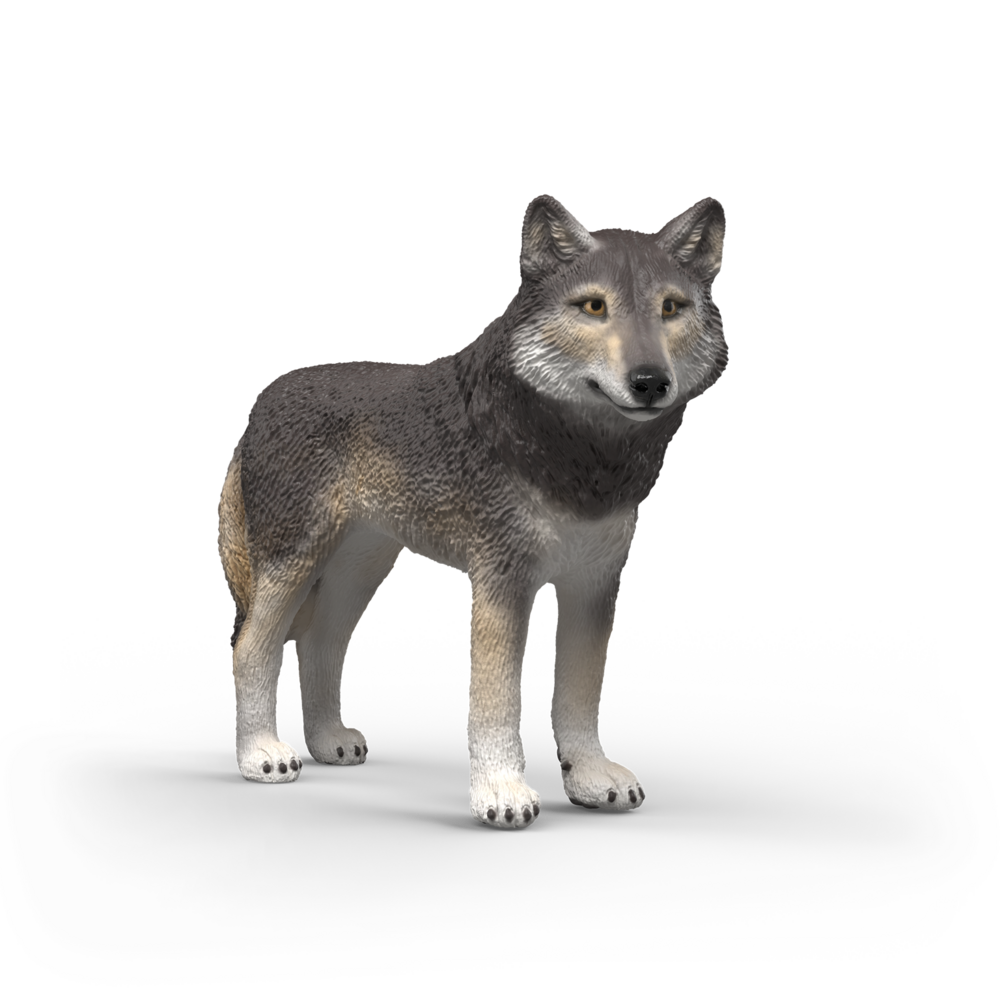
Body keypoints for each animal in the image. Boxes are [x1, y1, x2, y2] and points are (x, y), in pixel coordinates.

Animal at [217, 194, 728, 827]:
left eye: (671, 308)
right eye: (594, 307)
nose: (651, 382)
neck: (584, 458)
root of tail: (260, 402)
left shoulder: (593, 583)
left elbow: (579, 696)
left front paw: (590, 777)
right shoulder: (501, 582)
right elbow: (496, 701)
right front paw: (502, 792)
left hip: (359, 571)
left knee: (318, 644)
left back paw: (329, 741)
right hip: (293, 563)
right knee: (250, 649)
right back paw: (262, 754)